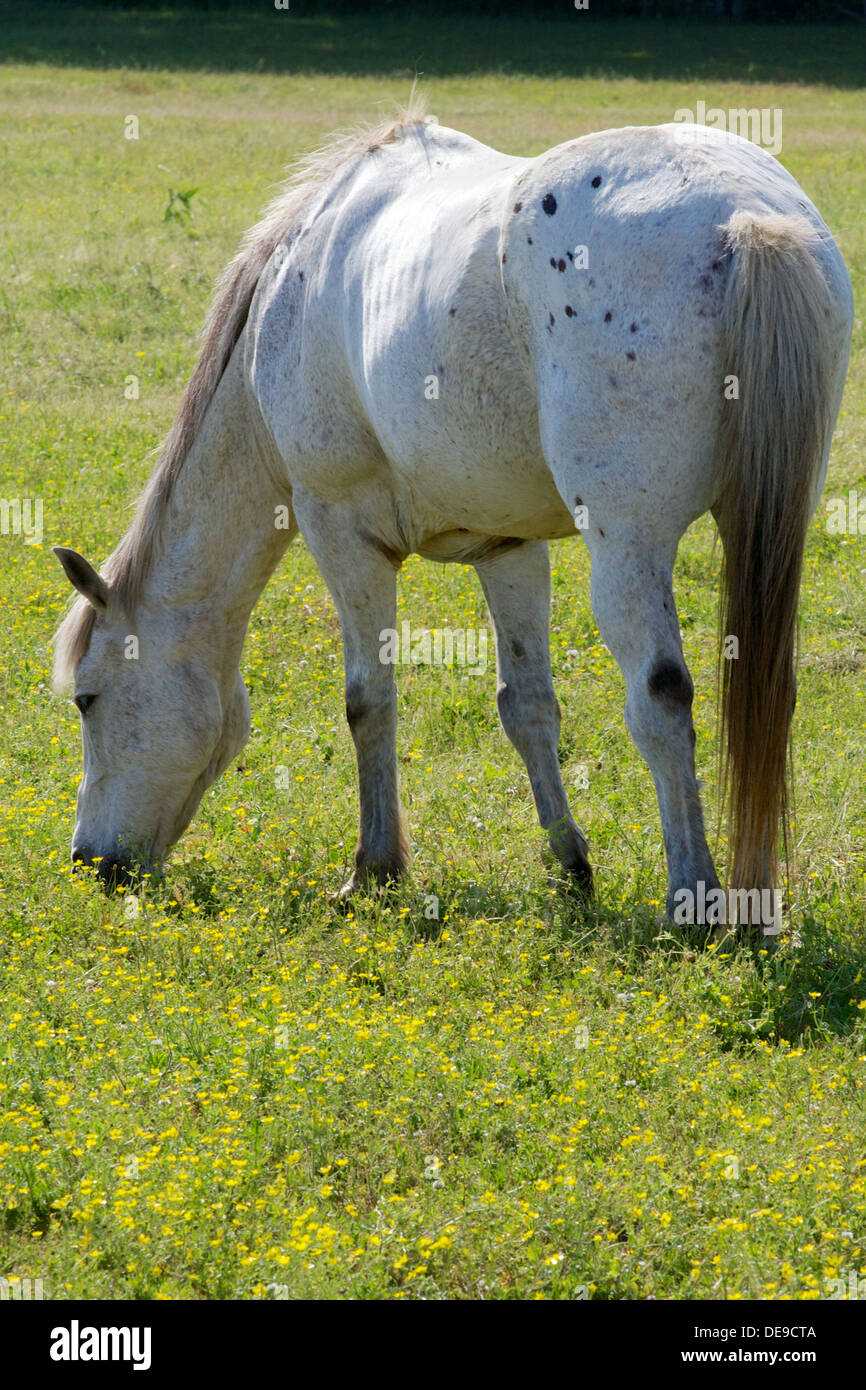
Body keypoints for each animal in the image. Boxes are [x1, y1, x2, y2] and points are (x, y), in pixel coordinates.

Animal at [54, 100, 856, 934]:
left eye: (87, 699)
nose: (90, 864)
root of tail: (742, 216)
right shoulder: (509, 549)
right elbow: (527, 707)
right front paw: (570, 866)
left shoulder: (341, 531)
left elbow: (367, 700)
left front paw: (374, 870)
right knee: (763, 690)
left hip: (627, 548)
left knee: (662, 698)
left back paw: (692, 900)